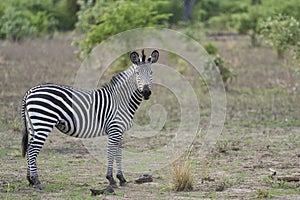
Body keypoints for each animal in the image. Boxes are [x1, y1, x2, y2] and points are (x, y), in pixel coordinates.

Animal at [21, 49, 159, 189]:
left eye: (151, 72)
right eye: (137, 73)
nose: (146, 92)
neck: (121, 99)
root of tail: (30, 91)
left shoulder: (120, 131)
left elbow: (119, 153)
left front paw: (121, 178)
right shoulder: (114, 129)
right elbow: (111, 152)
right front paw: (111, 179)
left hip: (34, 125)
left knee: (29, 148)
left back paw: (30, 180)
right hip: (43, 123)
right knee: (32, 150)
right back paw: (37, 181)